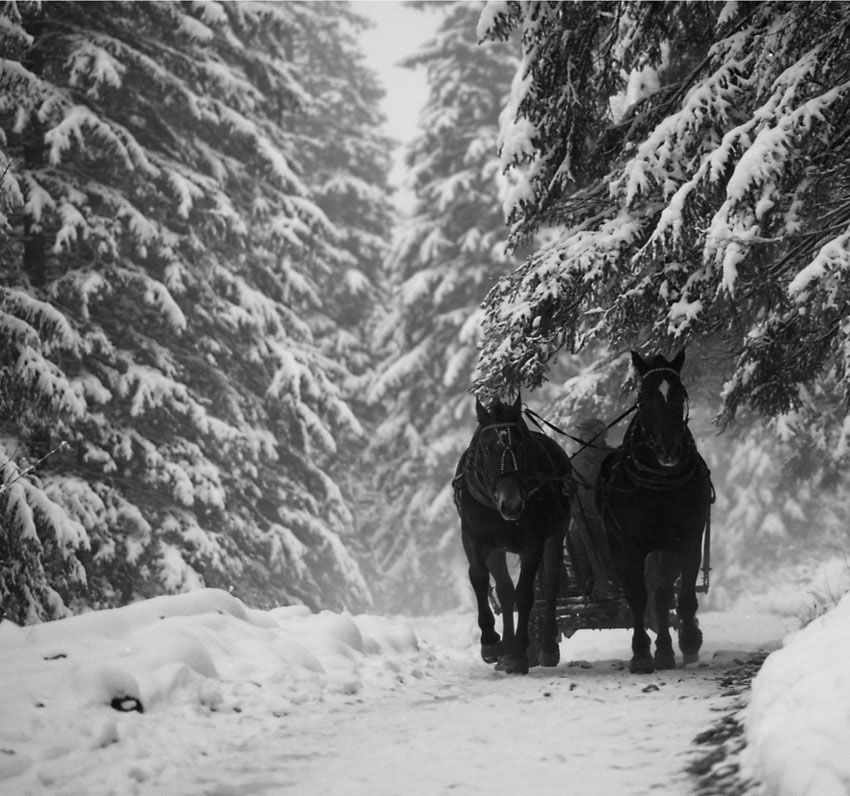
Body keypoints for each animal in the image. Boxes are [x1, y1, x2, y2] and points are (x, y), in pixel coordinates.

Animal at [450, 394, 568, 676]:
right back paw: (505, 650)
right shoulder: (475, 538)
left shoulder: (534, 543)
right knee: (504, 591)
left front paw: (519, 655)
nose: (511, 504)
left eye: (522, 448)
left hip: (556, 534)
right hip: (497, 548)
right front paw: (491, 643)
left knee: (551, 584)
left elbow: (525, 593)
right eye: (486, 449)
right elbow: (480, 579)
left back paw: (546, 646)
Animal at [596, 352, 708, 676]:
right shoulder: (629, 545)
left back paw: (668, 649)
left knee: (662, 592)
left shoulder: (687, 537)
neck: (658, 483)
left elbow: (680, 593)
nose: (668, 448)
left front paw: (688, 639)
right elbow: (637, 595)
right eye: (645, 398)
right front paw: (641, 654)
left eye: (679, 394)